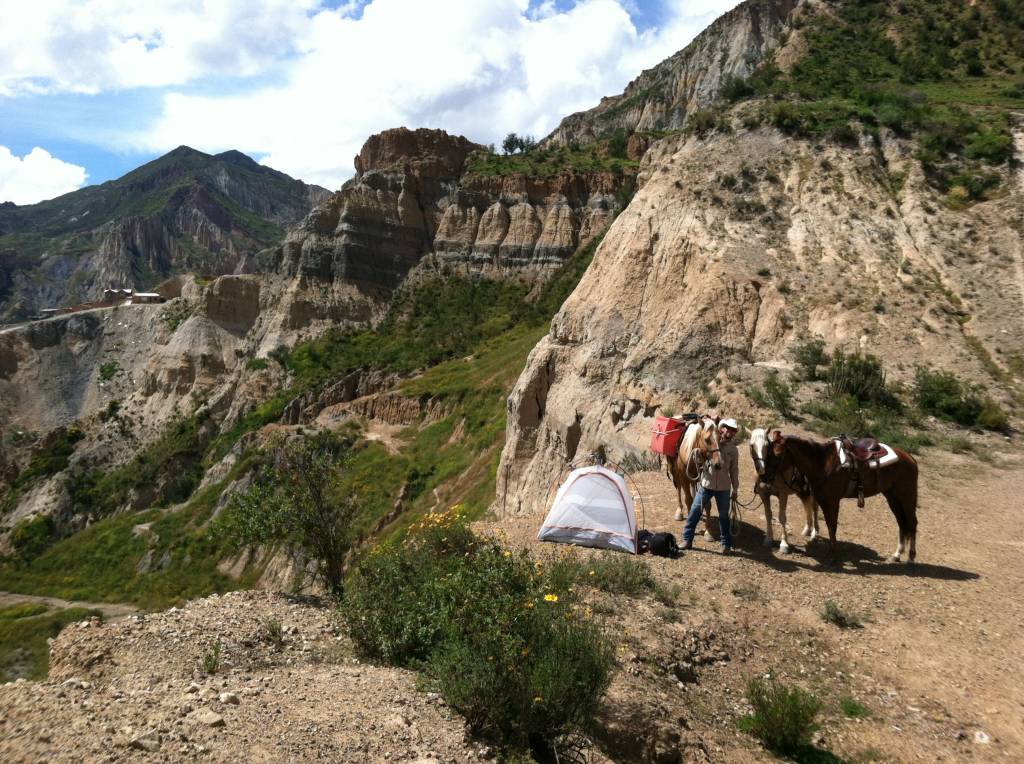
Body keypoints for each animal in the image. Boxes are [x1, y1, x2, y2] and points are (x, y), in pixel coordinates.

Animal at [770, 432, 921, 561]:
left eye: (778, 454)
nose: (767, 476)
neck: (823, 462)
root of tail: (911, 459)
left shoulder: (833, 500)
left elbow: (832, 525)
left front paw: (833, 554)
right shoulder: (822, 499)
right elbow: (828, 523)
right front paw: (830, 550)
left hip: (907, 496)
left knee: (912, 522)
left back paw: (911, 557)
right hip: (892, 497)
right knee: (901, 523)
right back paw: (896, 555)